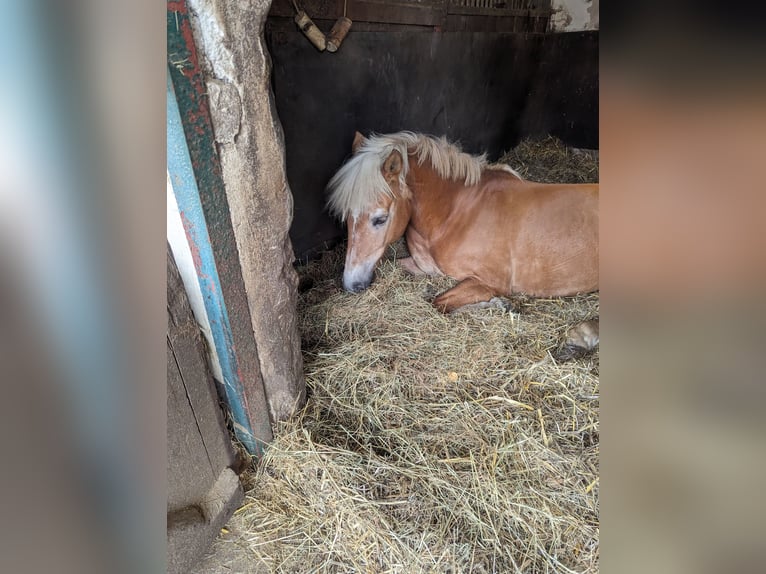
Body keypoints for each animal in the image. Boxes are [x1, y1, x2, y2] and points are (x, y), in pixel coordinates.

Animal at [324, 132, 600, 360]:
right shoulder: (425, 266)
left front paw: (501, 305)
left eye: (380, 219)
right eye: (346, 218)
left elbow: (439, 303)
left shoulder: (490, 281)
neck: (456, 213)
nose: (351, 284)